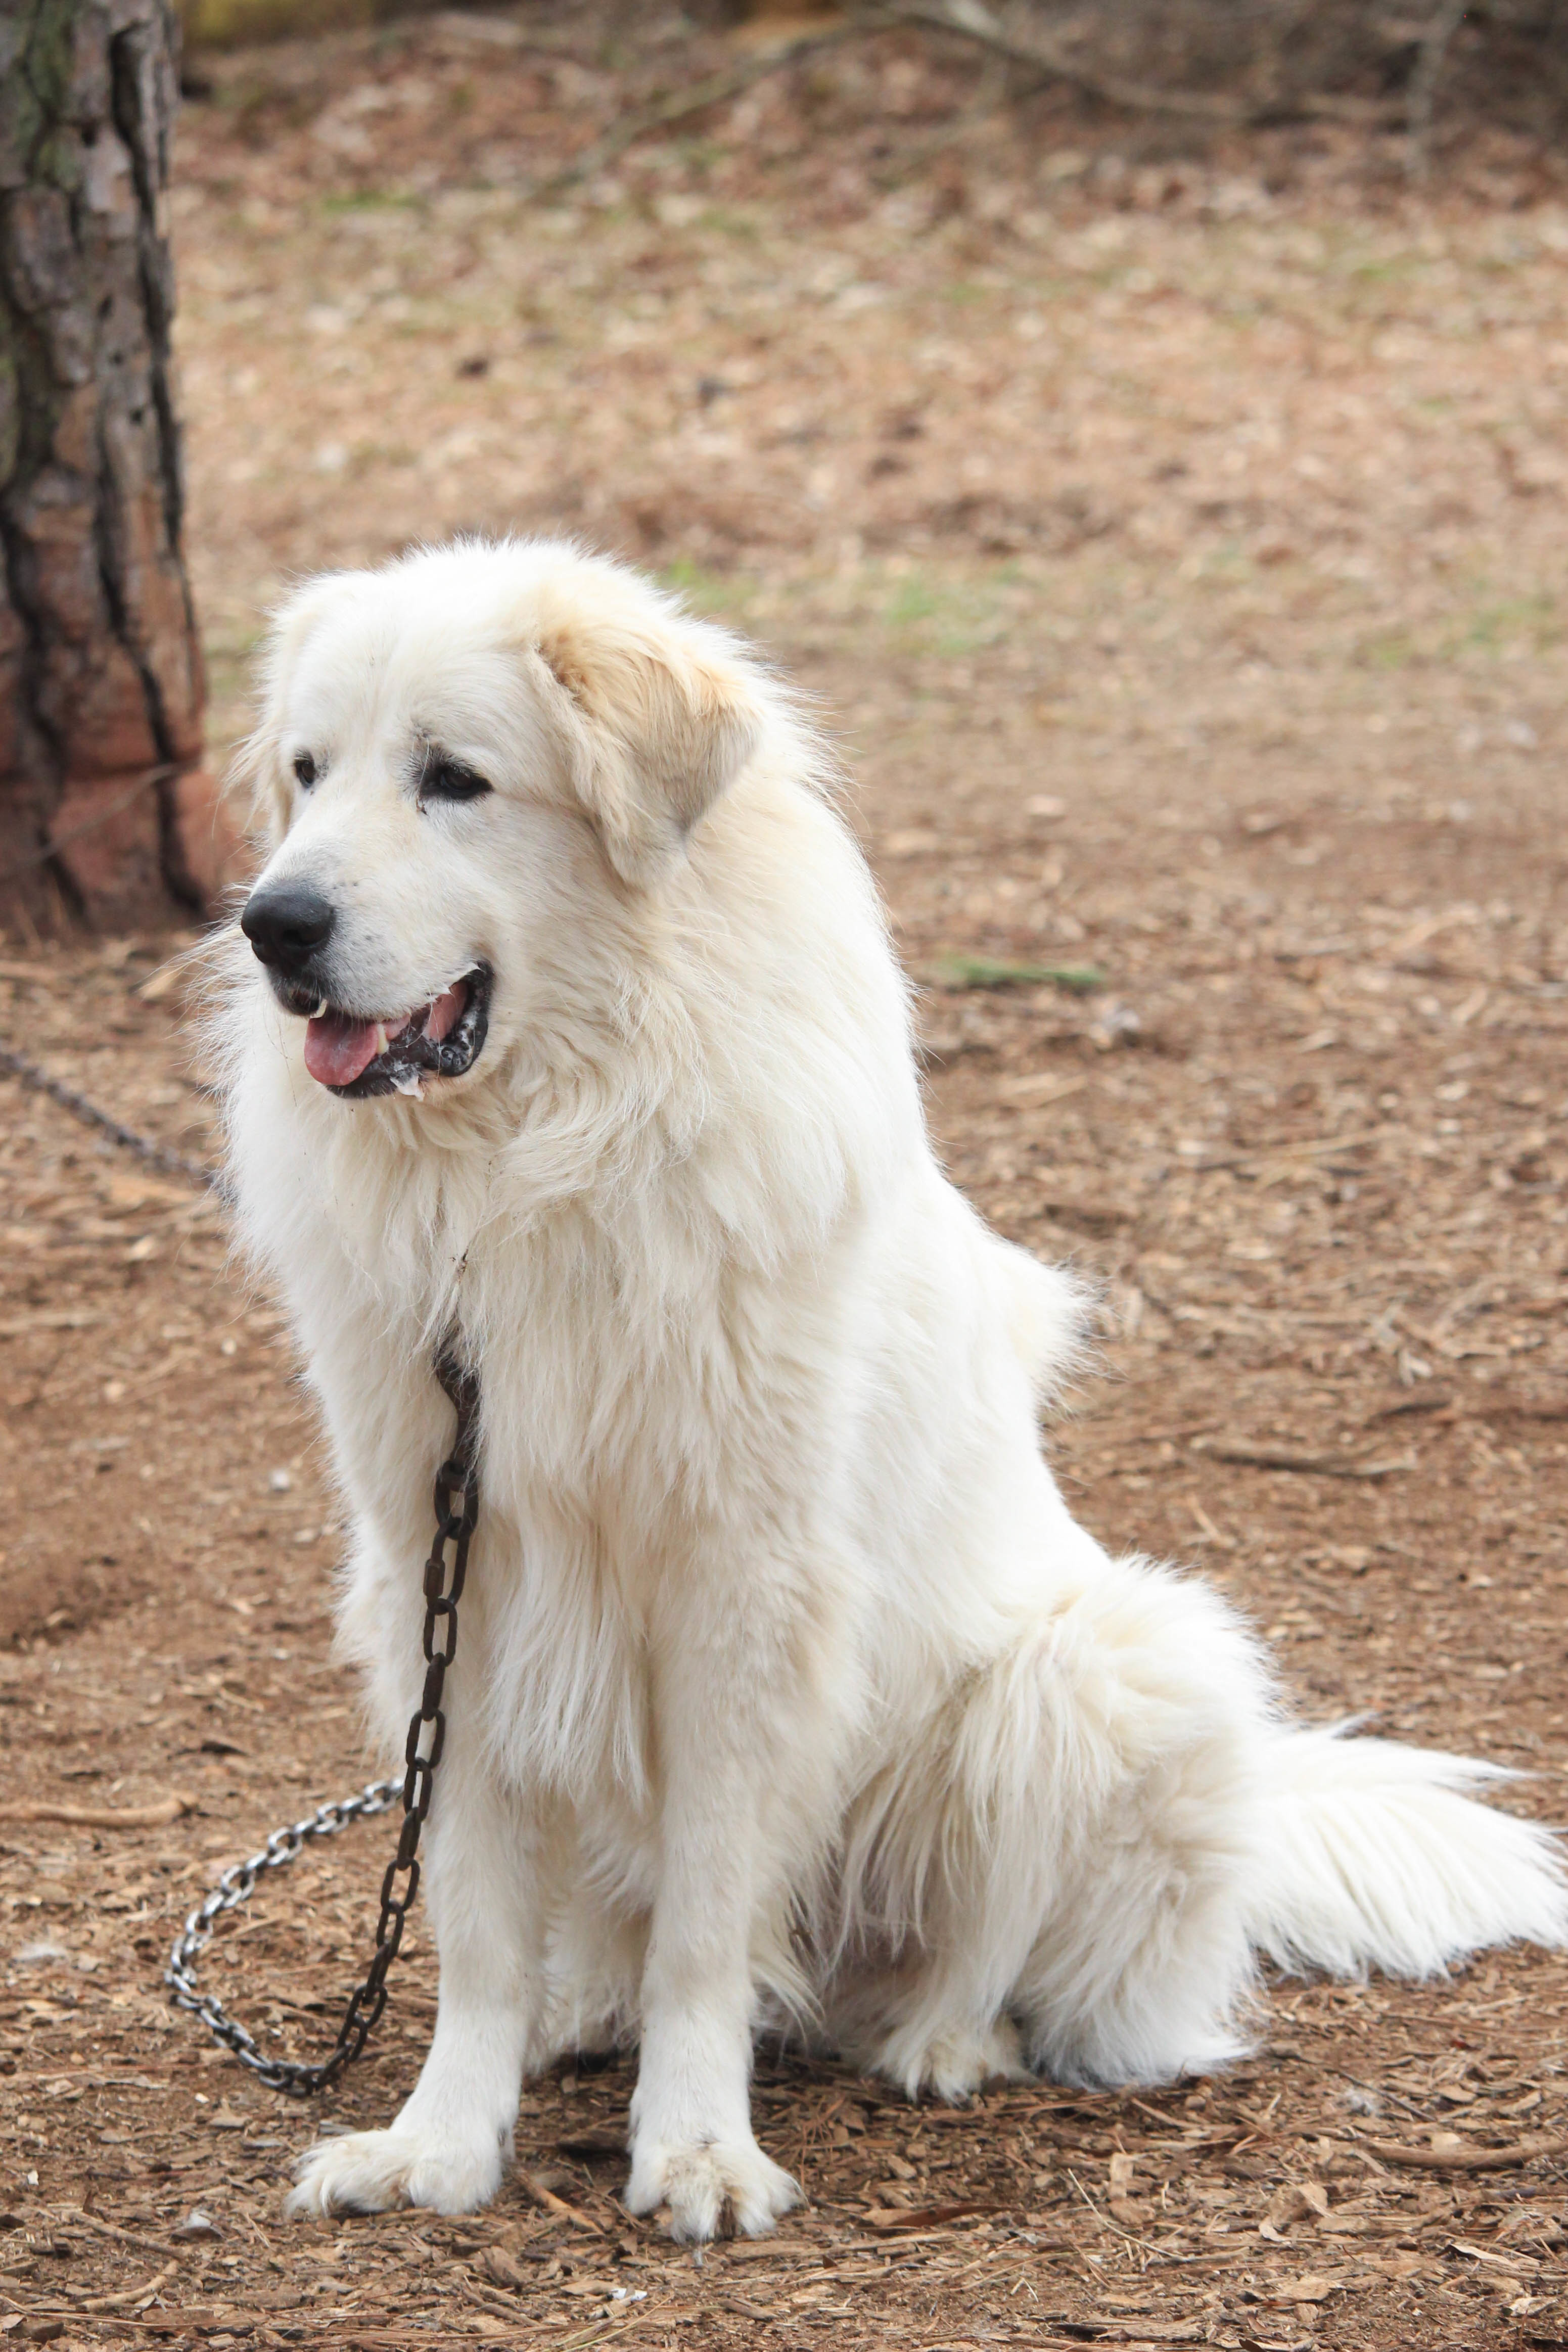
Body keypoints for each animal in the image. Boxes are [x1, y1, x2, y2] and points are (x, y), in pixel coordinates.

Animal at [223, 534, 1568, 2239]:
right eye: (307, 773)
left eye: (451, 778)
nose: (273, 923)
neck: (540, 1160)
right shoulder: (442, 1577)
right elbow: (466, 1908)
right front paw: (441, 2142)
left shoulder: (744, 1595)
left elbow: (707, 1922)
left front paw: (696, 2151)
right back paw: (579, 2015)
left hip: (1103, 1668)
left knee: (989, 1958)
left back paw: (940, 2043)